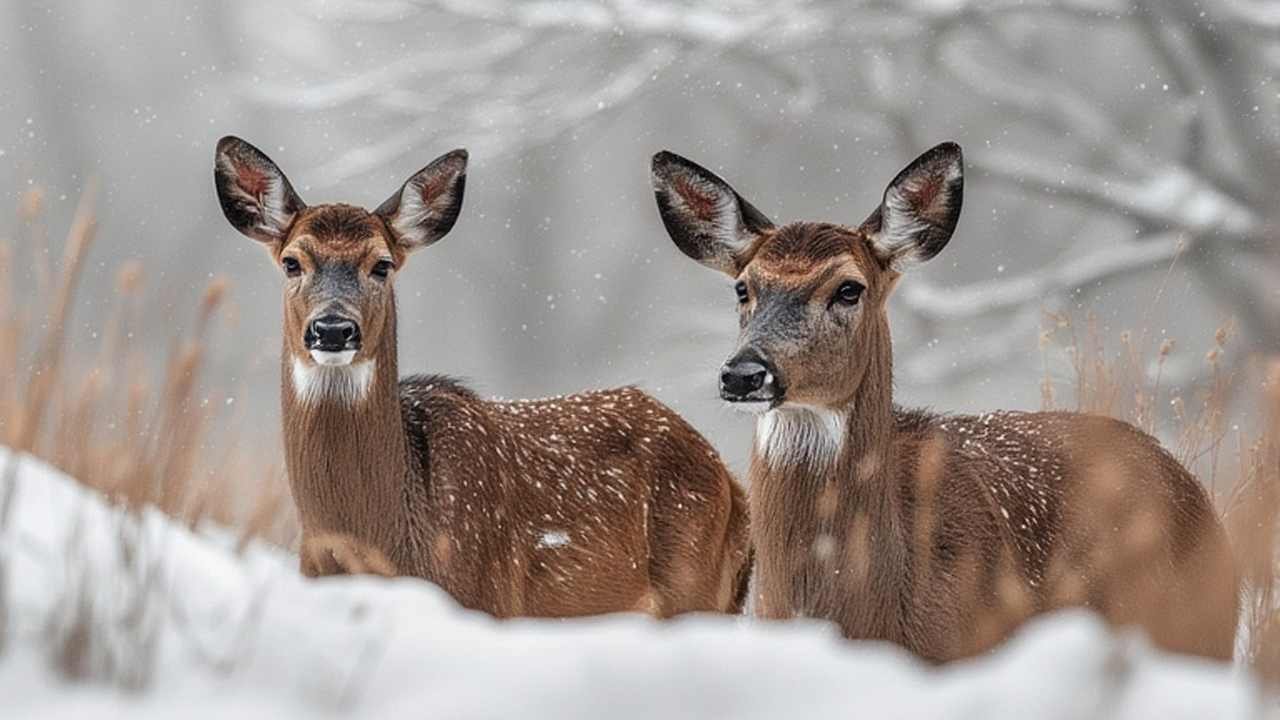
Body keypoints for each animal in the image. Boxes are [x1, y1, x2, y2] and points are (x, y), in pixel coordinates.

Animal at [213, 136, 750, 618]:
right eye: (292, 262)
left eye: (381, 265)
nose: (332, 329)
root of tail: (730, 480)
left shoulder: (488, 599)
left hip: (694, 588)